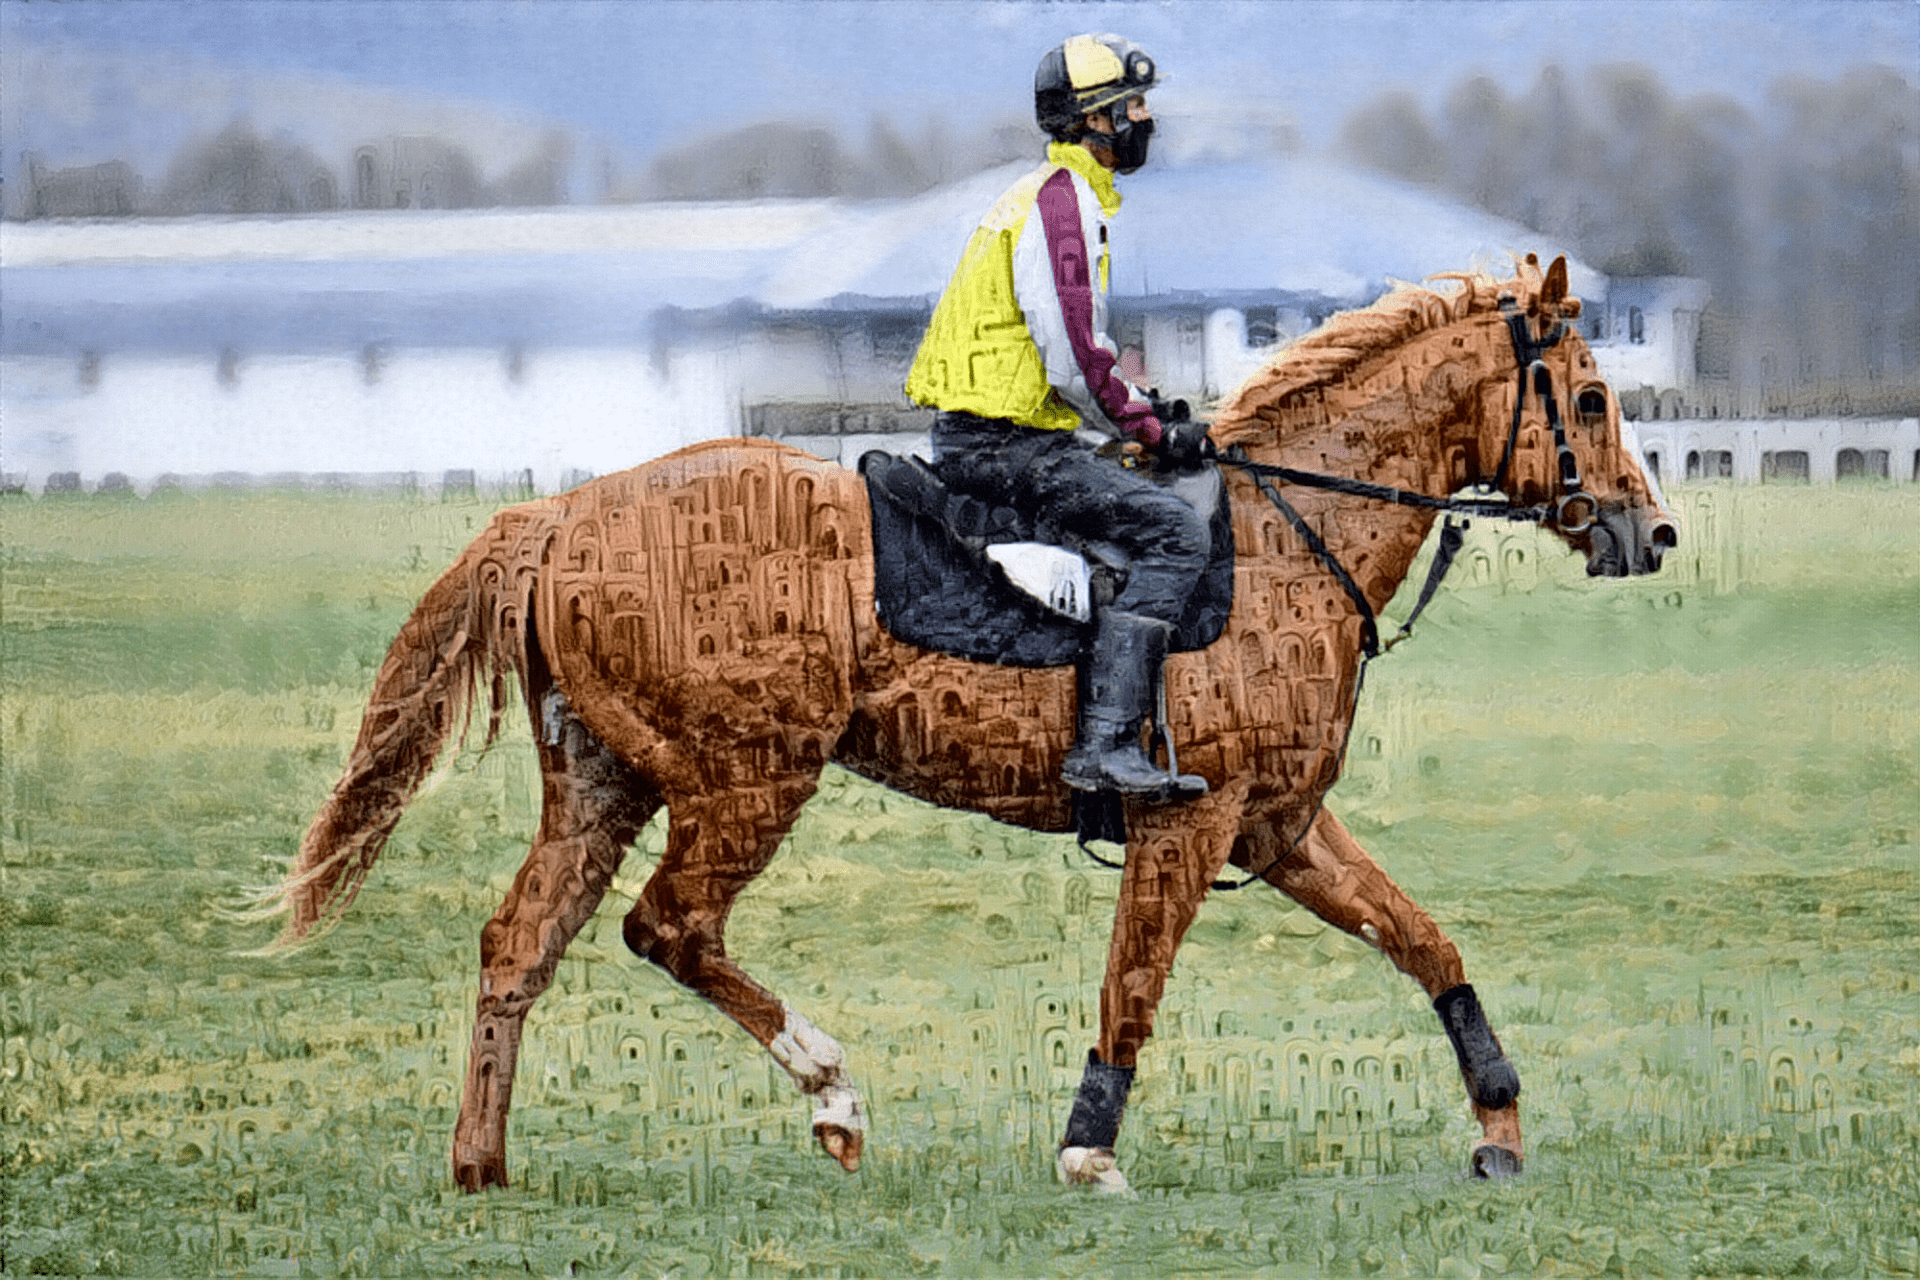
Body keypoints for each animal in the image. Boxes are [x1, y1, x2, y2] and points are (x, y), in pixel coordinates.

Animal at [243, 255, 1681, 1197]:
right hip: (749, 777)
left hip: (604, 783)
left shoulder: (1278, 827)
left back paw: (482, 1162)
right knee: (671, 928)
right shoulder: (1192, 823)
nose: (1651, 530)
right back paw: (831, 1092)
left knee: (520, 944)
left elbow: (1427, 942)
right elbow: (1132, 986)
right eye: (1591, 399)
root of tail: (561, 515)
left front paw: (1499, 1125)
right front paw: (1088, 1145)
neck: (1287, 535)